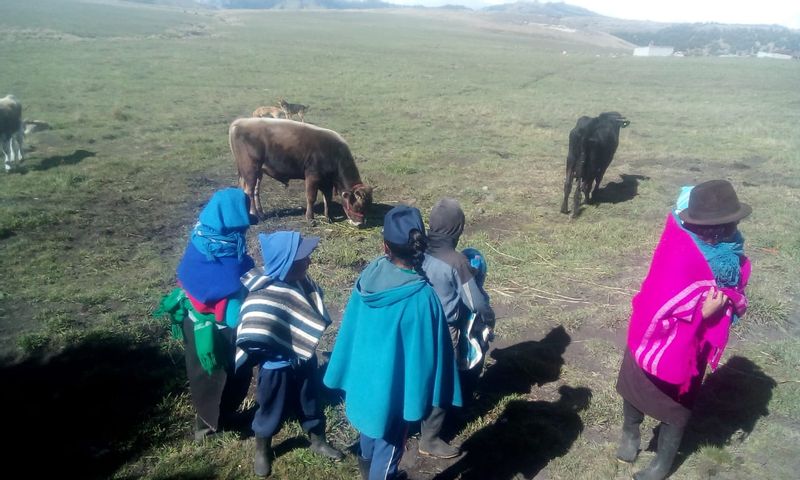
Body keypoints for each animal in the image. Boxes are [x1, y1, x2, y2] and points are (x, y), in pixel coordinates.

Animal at [227, 118, 374, 227]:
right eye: (357, 206)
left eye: (367, 206)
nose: (360, 223)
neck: (335, 154)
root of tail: (239, 122)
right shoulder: (312, 176)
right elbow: (311, 197)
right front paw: (310, 218)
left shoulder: (327, 182)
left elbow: (327, 198)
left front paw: (329, 217)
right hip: (250, 169)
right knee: (249, 191)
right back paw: (254, 215)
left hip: (258, 171)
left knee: (255, 191)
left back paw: (261, 213)